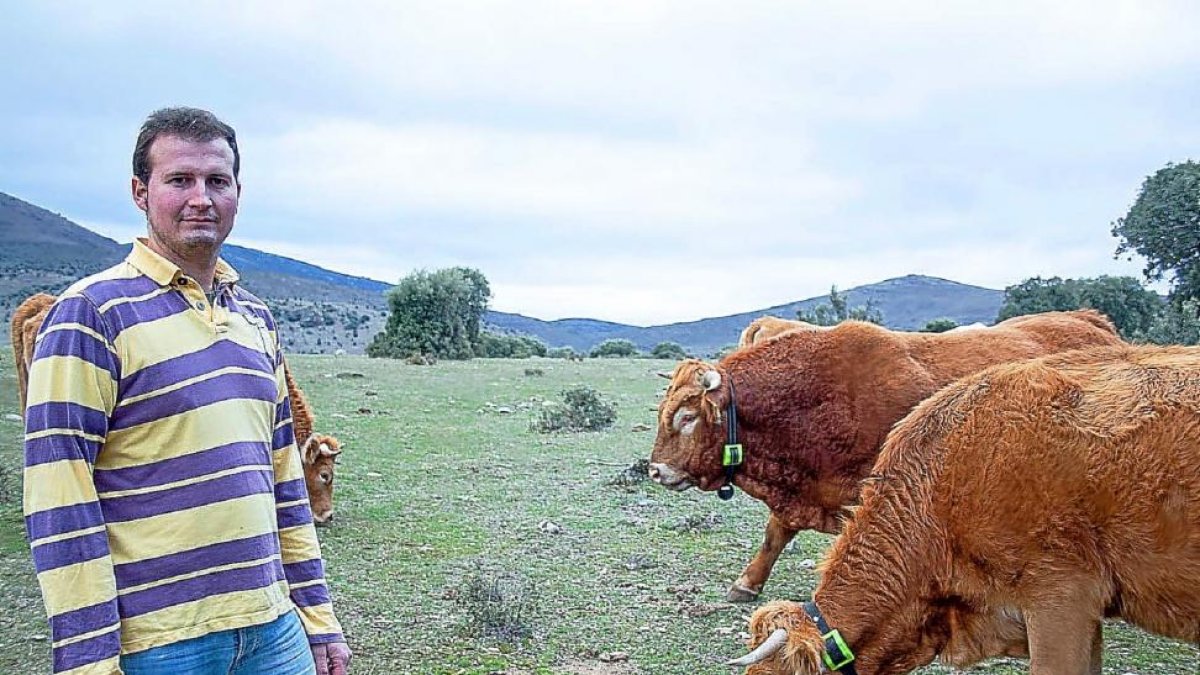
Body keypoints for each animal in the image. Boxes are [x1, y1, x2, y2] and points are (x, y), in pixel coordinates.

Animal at [649, 310, 1124, 602]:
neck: (819, 396)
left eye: (687, 417)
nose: (655, 470)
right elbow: (775, 535)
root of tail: (1091, 320)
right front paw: (748, 583)